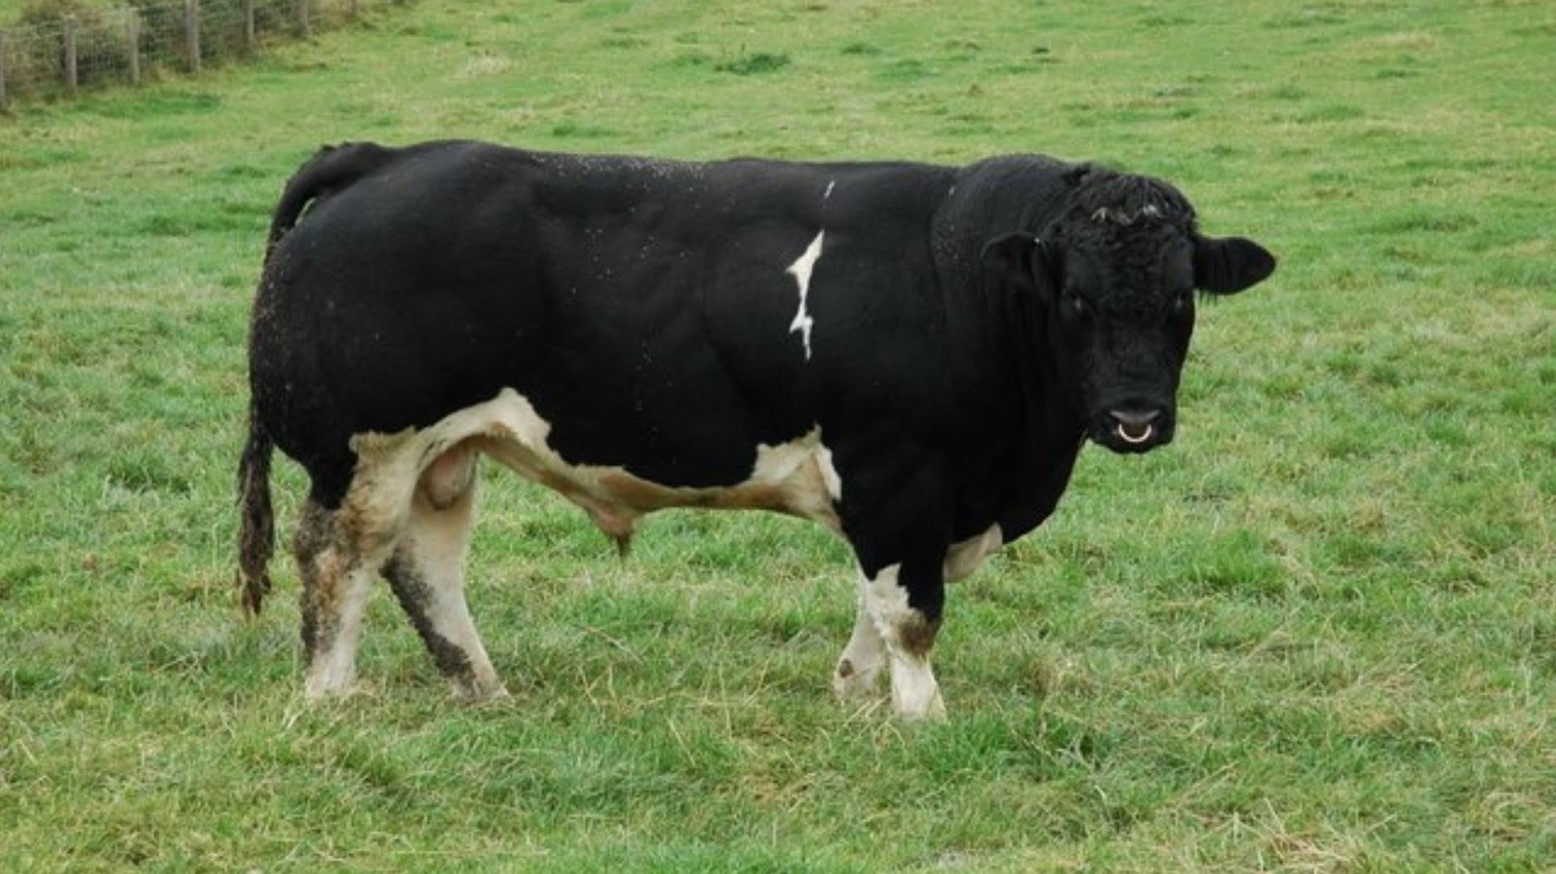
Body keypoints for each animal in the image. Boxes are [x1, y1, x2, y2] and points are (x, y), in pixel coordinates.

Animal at [236, 140, 1276, 719]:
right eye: (1075, 299)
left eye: (1181, 298)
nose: (1135, 417)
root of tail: (388, 158)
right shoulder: (897, 470)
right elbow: (911, 608)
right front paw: (921, 714)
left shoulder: (912, 493)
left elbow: (876, 597)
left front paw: (855, 693)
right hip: (368, 449)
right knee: (340, 554)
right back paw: (329, 694)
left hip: (445, 454)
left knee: (424, 564)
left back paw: (480, 686)